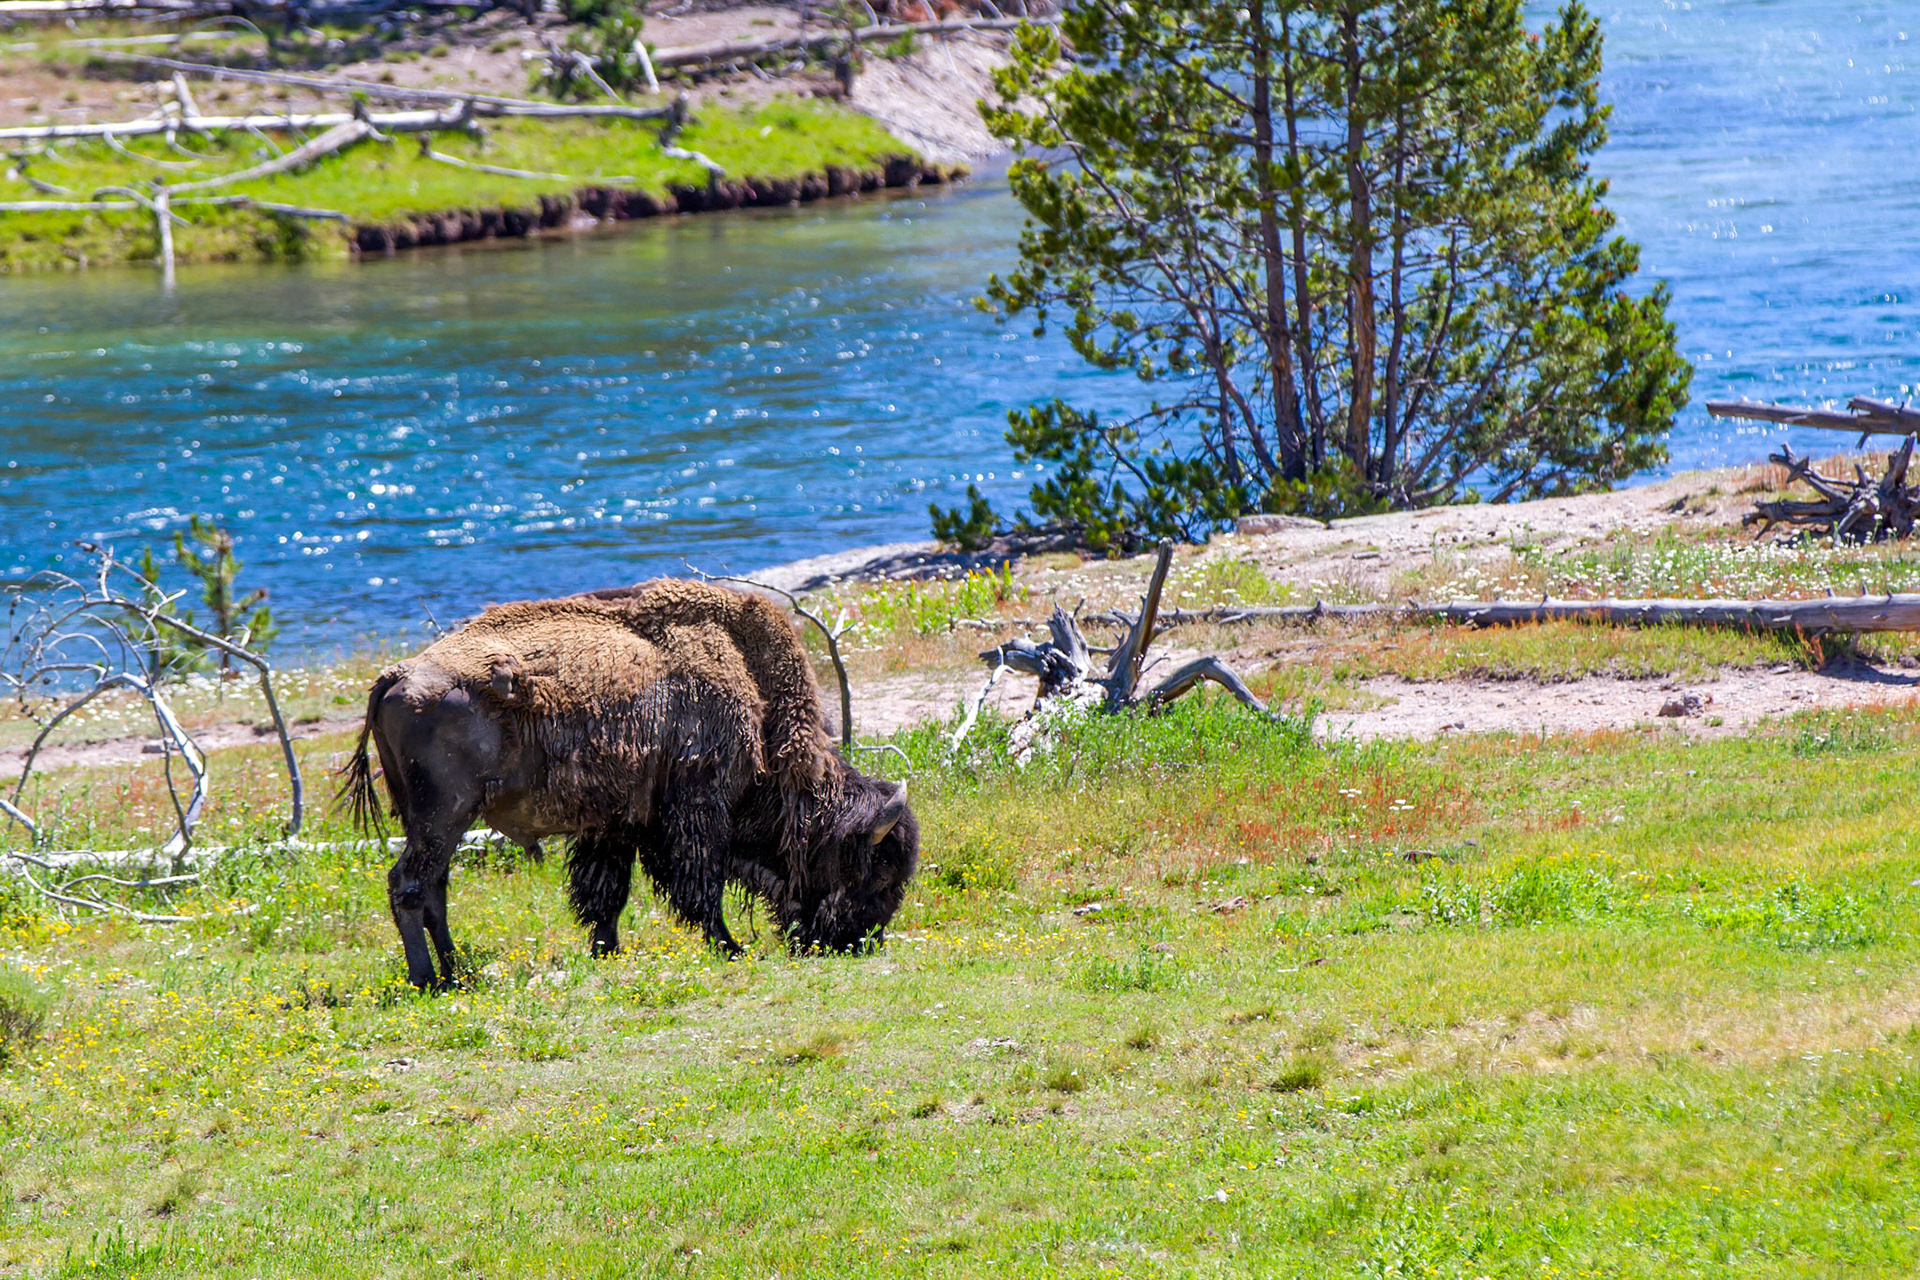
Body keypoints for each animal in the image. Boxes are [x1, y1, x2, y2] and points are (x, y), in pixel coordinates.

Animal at [340, 580, 918, 989]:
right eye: (877, 874)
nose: (859, 942)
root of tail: (395, 676)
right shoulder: (695, 812)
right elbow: (699, 888)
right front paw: (730, 947)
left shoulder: (615, 825)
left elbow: (606, 893)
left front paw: (607, 951)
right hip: (443, 815)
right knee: (410, 885)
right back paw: (430, 981)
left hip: (439, 822)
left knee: (434, 887)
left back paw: (457, 972)